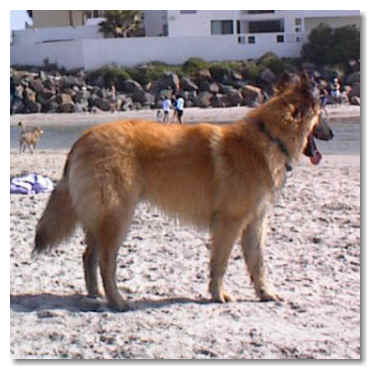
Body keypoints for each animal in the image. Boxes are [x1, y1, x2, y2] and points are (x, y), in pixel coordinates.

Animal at [34, 71, 332, 308]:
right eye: (322, 116)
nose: (332, 134)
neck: (268, 137)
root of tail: (82, 139)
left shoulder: (255, 224)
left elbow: (258, 264)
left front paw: (265, 293)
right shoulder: (229, 224)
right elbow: (220, 263)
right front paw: (218, 295)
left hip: (101, 218)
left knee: (89, 256)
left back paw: (95, 295)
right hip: (117, 218)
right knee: (106, 262)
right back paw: (117, 300)